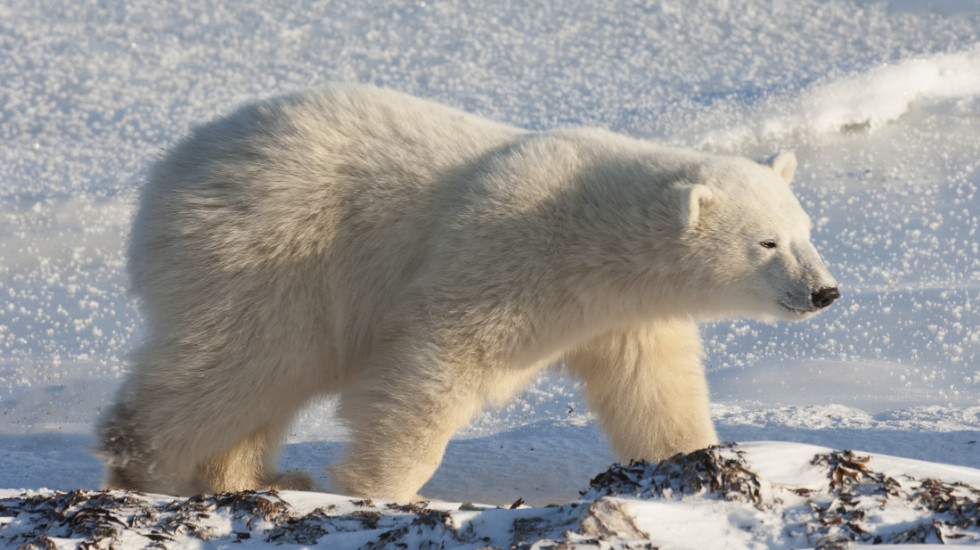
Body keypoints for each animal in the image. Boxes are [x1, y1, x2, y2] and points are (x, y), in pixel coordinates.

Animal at [95, 85, 840, 500]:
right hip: (271, 249)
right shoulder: (505, 251)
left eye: (806, 231)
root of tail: (169, 172)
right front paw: (378, 488)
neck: (593, 233)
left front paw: (695, 462)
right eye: (766, 243)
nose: (825, 291)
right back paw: (145, 463)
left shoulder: (622, 315)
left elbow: (654, 388)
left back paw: (253, 479)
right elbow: (436, 360)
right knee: (246, 359)